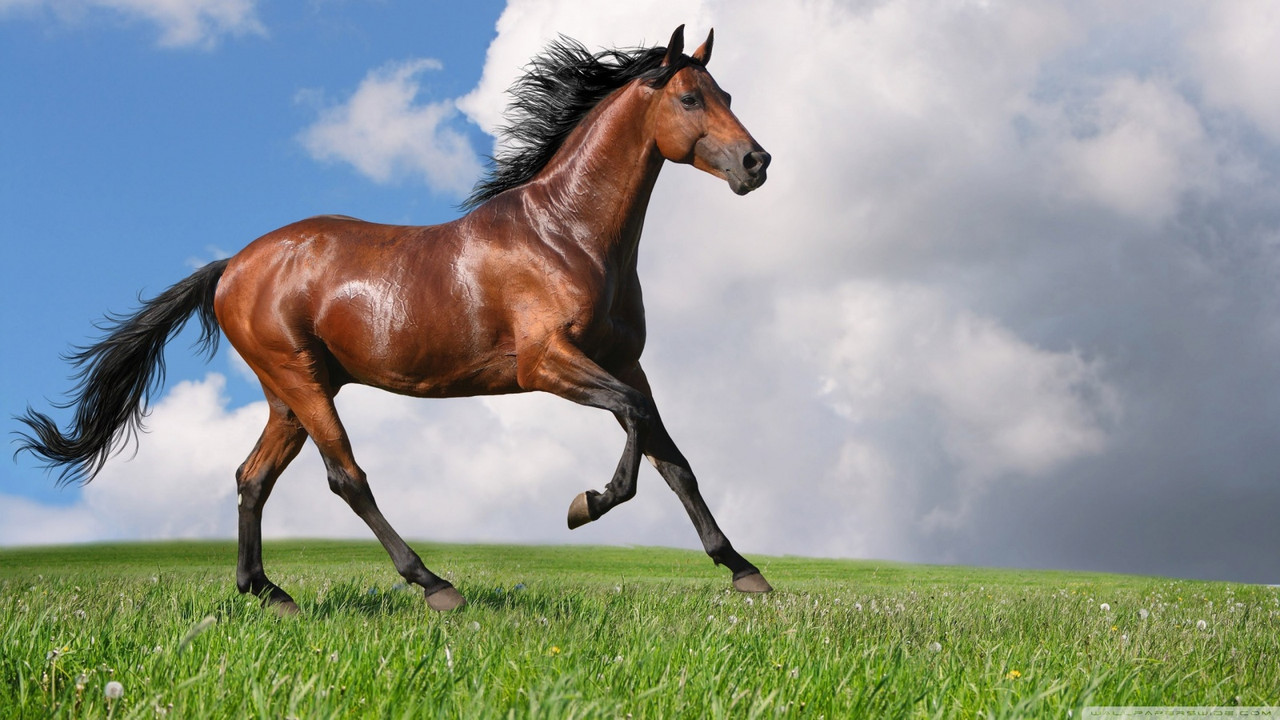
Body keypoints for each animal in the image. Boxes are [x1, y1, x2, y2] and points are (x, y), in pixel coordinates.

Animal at [15, 23, 768, 609]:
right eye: (690, 96)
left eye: (728, 95)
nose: (755, 161)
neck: (566, 234)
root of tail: (230, 266)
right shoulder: (546, 362)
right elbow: (636, 431)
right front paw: (585, 506)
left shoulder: (624, 362)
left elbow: (674, 459)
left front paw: (744, 571)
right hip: (301, 381)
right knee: (345, 476)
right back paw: (434, 585)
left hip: (290, 392)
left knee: (252, 478)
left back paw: (269, 593)